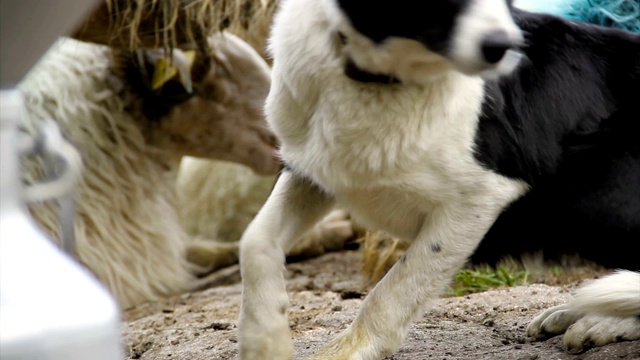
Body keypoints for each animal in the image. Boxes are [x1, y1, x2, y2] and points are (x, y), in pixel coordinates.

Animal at [236, 1, 640, 358]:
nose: (507, 48)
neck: (385, 81)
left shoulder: (478, 199)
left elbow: (395, 288)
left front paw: (346, 351)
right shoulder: (311, 171)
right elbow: (254, 241)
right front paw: (265, 342)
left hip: (594, 194)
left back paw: (601, 321)